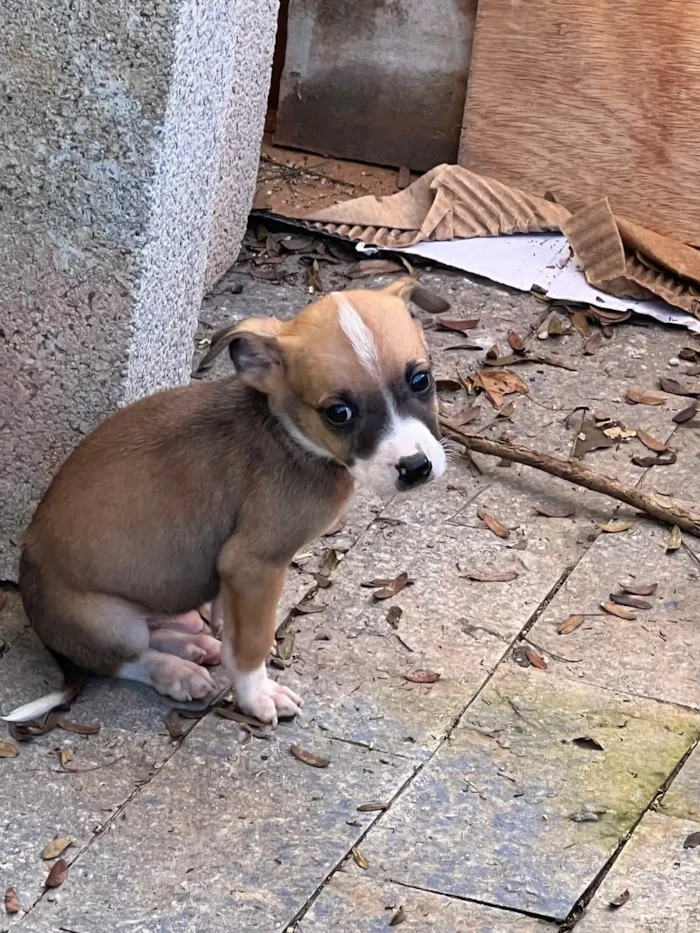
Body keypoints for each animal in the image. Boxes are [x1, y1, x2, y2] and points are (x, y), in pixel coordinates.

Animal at [4, 280, 442, 724]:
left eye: (421, 379)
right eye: (339, 412)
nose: (416, 467)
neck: (288, 433)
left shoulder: (231, 570)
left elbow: (228, 616)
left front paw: (223, 632)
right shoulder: (253, 563)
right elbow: (250, 645)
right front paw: (257, 695)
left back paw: (190, 642)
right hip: (106, 621)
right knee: (120, 658)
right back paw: (175, 671)